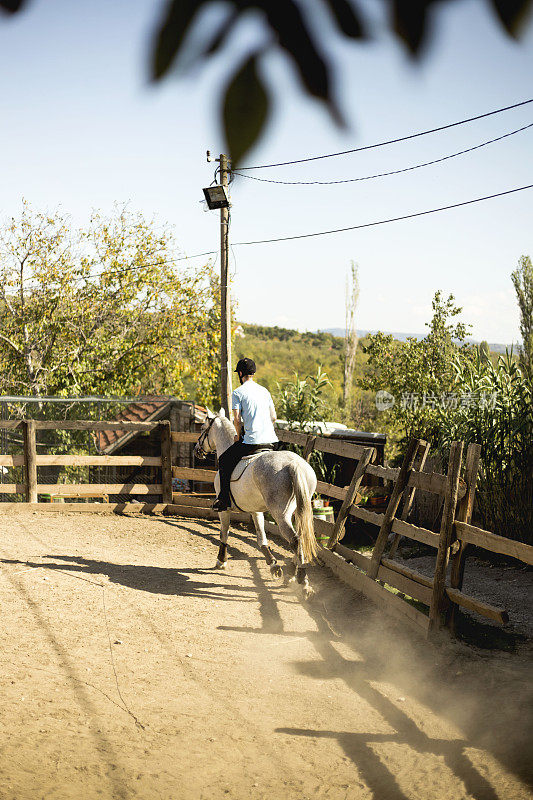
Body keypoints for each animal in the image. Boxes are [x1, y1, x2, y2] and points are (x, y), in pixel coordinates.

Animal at [194, 410, 316, 596]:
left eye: (202, 428)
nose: (197, 450)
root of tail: (293, 463)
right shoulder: (255, 510)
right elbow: (261, 537)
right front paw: (273, 565)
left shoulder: (224, 509)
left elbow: (224, 533)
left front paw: (221, 561)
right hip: (298, 510)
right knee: (300, 538)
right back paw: (290, 575)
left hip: (281, 514)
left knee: (295, 540)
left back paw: (302, 580)